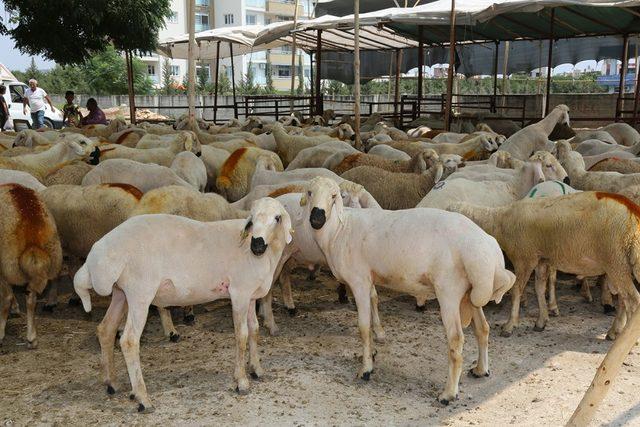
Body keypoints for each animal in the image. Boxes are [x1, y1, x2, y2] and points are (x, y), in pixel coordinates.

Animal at [74, 197, 292, 412]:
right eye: (252, 218)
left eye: (277, 217)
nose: (257, 245)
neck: (262, 255)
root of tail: (98, 252)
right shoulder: (239, 293)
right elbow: (242, 335)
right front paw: (242, 381)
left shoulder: (251, 295)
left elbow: (254, 330)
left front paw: (257, 370)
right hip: (140, 292)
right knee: (128, 341)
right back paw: (143, 399)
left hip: (121, 293)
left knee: (106, 329)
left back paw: (111, 382)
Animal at [300, 176, 516, 404]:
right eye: (309, 192)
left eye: (334, 196)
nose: (317, 218)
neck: (339, 230)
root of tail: (488, 250)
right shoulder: (369, 278)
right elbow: (374, 301)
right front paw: (374, 350)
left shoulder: (358, 281)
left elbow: (363, 327)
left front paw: (366, 370)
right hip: (472, 291)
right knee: (483, 329)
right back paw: (481, 369)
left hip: (449, 291)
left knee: (456, 339)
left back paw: (448, 393)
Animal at [448, 192, 640, 340]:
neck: (500, 222)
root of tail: (633, 212)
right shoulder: (541, 260)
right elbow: (540, 288)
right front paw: (541, 321)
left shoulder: (524, 259)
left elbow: (517, 291)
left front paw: (509, 325)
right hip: (622, 264)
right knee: (624, 300)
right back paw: (615, 332)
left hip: (615, 261)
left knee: (632, 300)